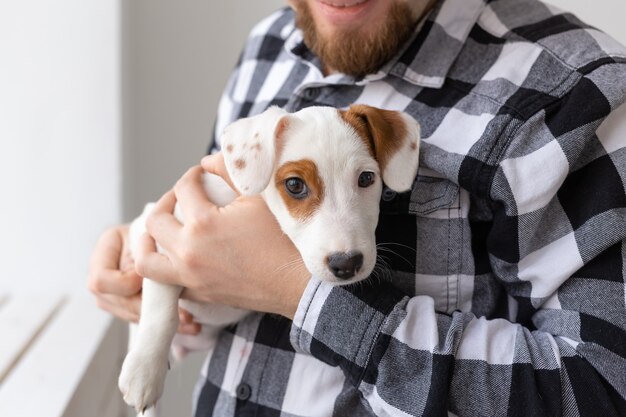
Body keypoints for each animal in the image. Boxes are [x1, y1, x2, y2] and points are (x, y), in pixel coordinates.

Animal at [117, 103, 420, 410]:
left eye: (367, 178)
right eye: (295, 185)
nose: (346, 264)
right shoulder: (160, 237)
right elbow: (161, 311)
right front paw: (145, 370)